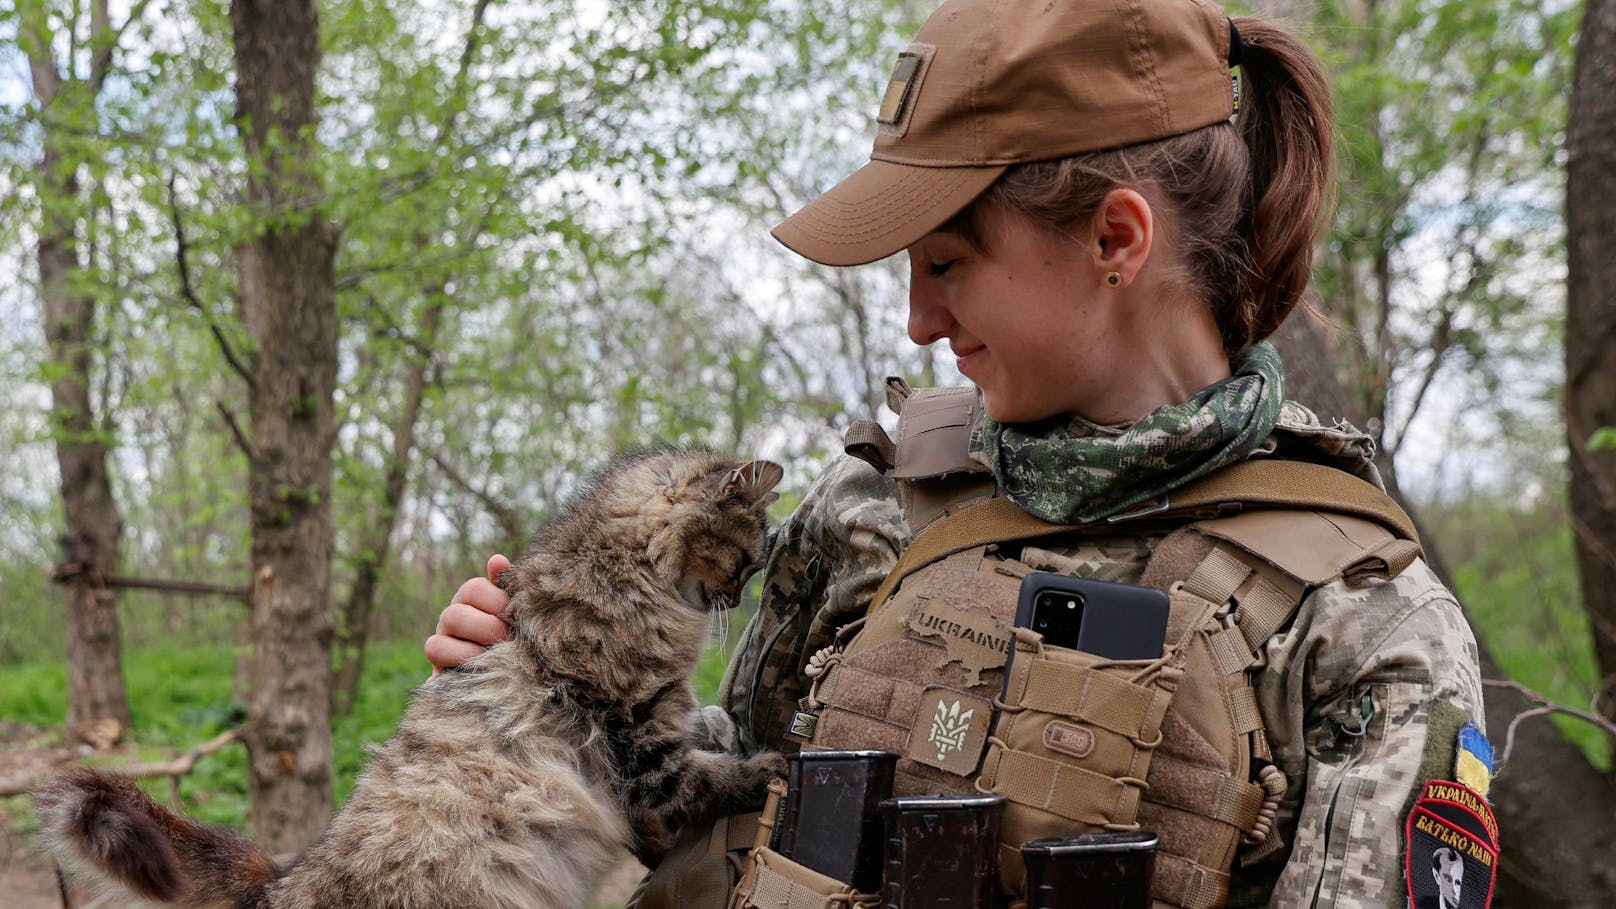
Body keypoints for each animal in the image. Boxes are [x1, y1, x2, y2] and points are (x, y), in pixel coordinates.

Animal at [34, 446, 791, 905]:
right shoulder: (636, 740)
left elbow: (697, 748)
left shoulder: (654, 726)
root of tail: (281, 880)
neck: (620, 574)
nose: (738, 597)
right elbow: (703, 776)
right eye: (745, 561)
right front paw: (770, 766)